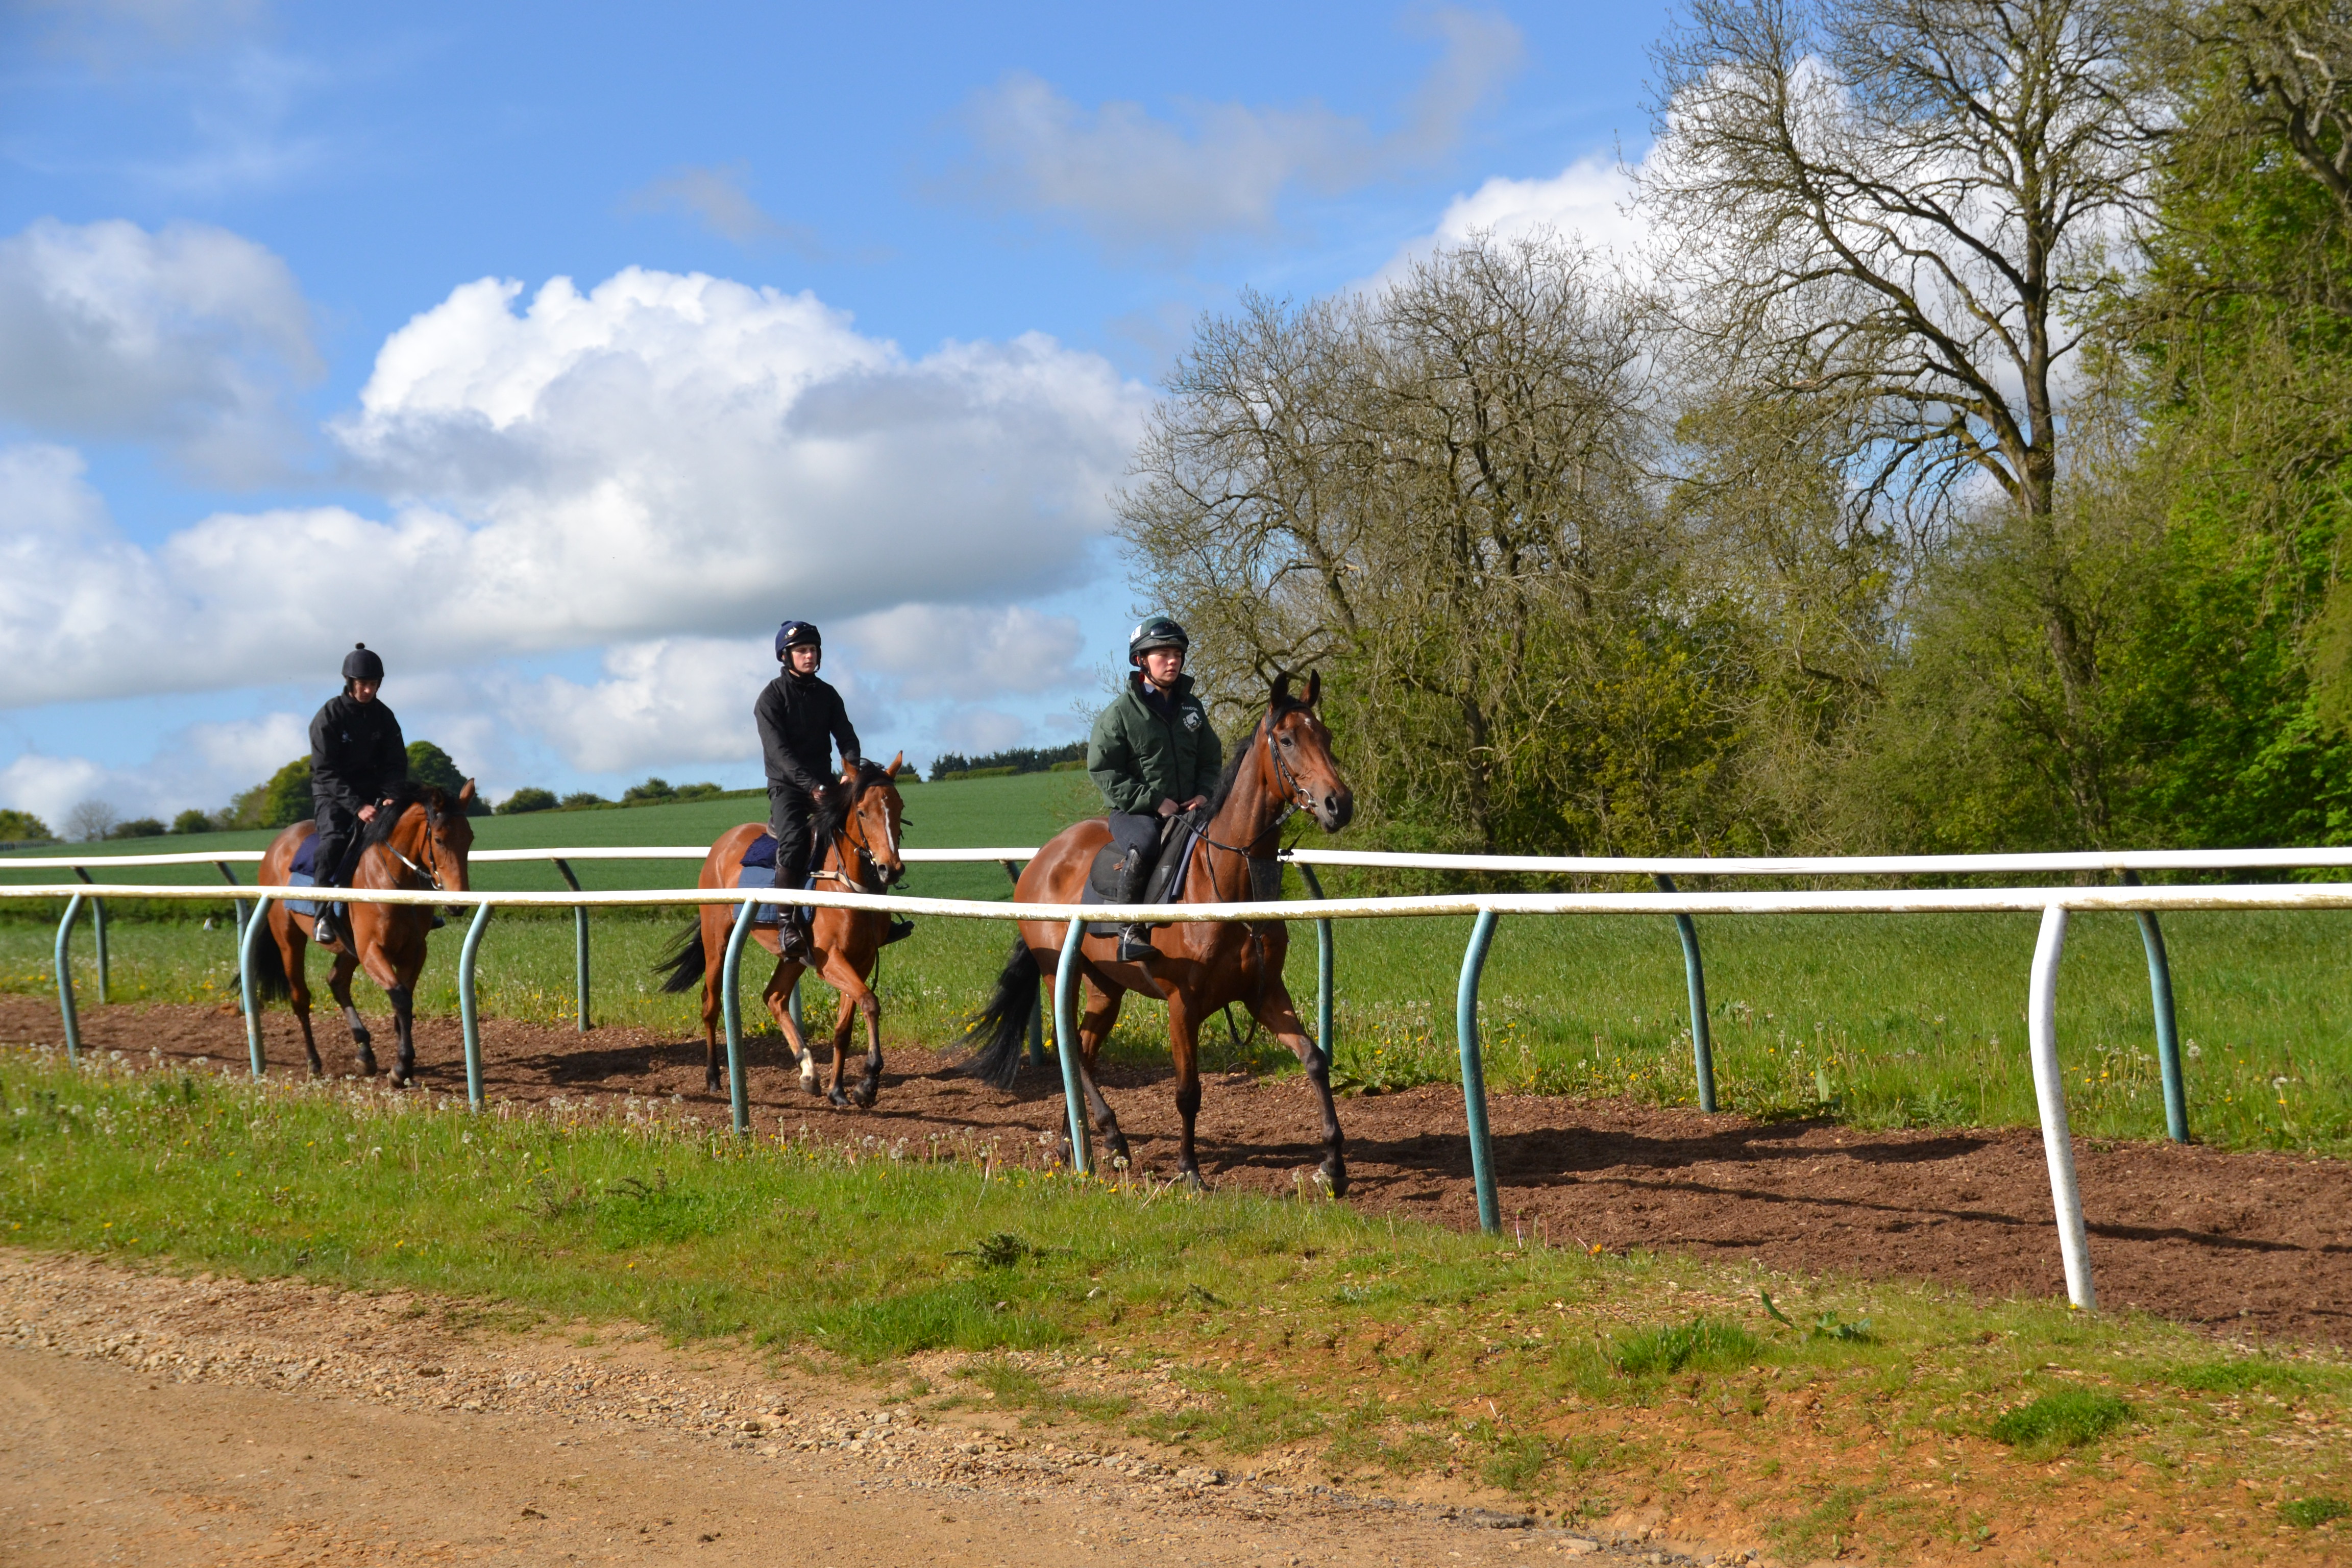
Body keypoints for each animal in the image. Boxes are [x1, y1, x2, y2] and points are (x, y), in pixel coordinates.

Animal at [249, 780, 477, 1086]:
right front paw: (402, 1067)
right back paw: (313, 1062)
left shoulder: (414, 951)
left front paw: (402, 1061)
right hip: (289, 938)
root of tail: (276, 845)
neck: (392, 880)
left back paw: (364, 1053)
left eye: (470, 838)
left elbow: (403, 1002)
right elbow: (400, 997)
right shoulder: (372, 950)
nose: (459, 904)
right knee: (300, 998)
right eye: (439, 840)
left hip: (349, 947)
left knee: (337, 981)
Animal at [663, 757, 917, 1105]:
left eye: (899, 805)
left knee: (774, 997)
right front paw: (867, 1082)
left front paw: (838, 1090)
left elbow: (844, 1026)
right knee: (711, 1005)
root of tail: (723, 843)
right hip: (717, 942)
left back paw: (808, 1070)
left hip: (793, 956)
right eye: (863, 812)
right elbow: (870, 1002)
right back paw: (714, 1077)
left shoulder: (861, 959)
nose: (890, 868)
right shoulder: (830, 961)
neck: (845, 885)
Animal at [960, 672, 1364, 1189]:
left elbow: (1314, 1060)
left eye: (1326, 737)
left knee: (1082, 1050)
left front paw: (1333, 1164)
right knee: (1070, 1048)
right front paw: (1189, 1169)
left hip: (1106, 988)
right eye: (1289, 740)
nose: (1339, 804)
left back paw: (1076, 1140)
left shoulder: (1264, 992)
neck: (1228, 883)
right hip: (1058, 975)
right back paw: (1110, 1137)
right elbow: (1188, 1091)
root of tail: (1041, 860)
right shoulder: (1181, 1005)